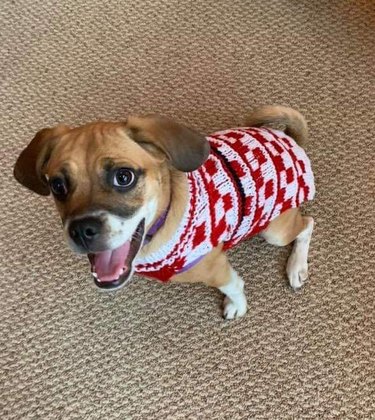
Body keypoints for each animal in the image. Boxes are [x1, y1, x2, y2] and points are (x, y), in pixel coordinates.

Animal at [13, 105, 314, 318]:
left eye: (124, 177)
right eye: (57, 185)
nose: (81, 230)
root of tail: (289, 139)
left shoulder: (215, 267)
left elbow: (234, 286)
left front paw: (236, 306)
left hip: (274, 231)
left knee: (307, 224)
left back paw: (296, 266)